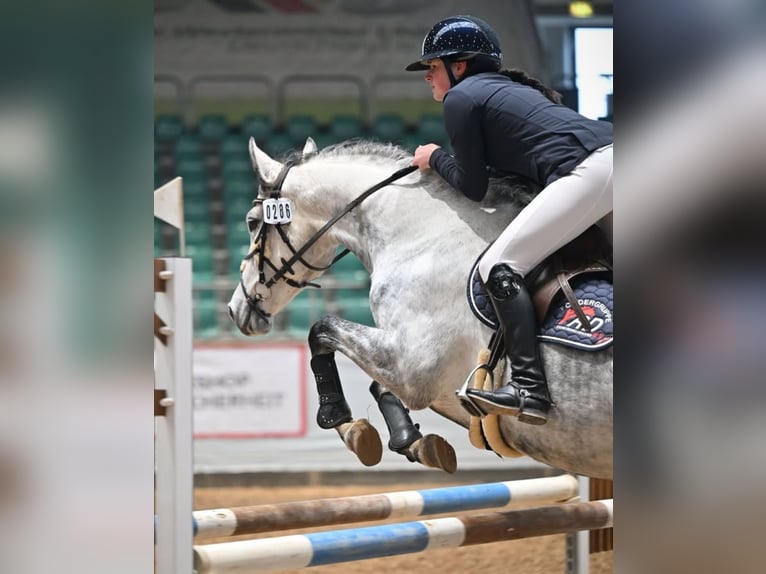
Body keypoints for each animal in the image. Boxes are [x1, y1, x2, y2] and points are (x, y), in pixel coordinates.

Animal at [226, 138, 612, 482]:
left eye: (251, 221)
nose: (235, 308)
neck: (424, 235)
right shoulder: (407, 361)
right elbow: (377, 385)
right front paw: (412, 442)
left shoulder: (414, 367)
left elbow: (321, 330)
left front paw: (341, 420)